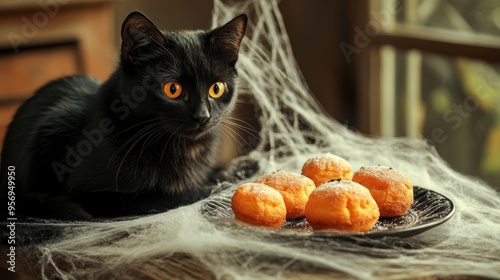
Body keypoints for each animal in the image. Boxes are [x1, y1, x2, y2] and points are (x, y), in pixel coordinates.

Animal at [0, 10, 248, 220]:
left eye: (216, 89)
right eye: (172, 89)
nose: (202, 116)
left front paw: (234, 171)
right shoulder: (89, 194)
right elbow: (159, 196)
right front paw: (209, 188)